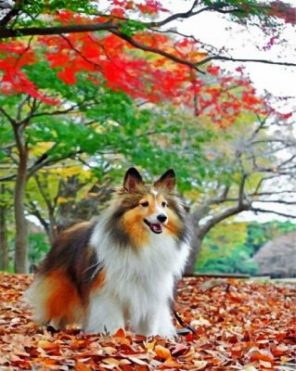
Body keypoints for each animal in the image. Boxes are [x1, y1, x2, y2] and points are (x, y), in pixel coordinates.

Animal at [26, 169, 191, 338]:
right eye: (144, 203)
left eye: (164, 204)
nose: (162, 217)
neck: (142, 242)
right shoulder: (107, 290)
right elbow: (112, 320)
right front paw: (115, 336)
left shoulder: (152, 289)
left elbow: (149, 321)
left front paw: (149, 338)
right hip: (63, 287)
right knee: (57, 308)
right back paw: (52, 328)